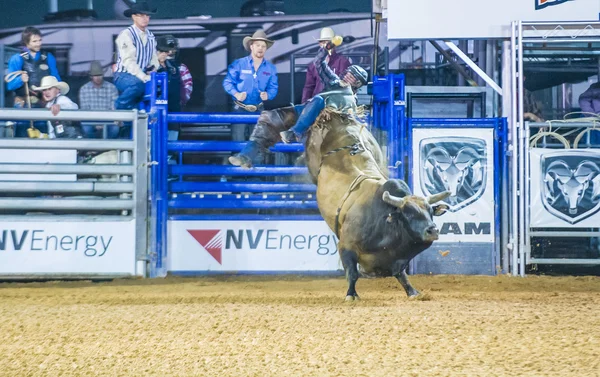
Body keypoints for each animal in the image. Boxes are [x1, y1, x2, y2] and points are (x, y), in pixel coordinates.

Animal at [308, 109, 448, 300]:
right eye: (408, 213)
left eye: (431, 212)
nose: (432, 230)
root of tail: (338, 119)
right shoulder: (346, 246)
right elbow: (353, 273)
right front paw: (351, 295)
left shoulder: (396, 261)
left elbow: (402, 275)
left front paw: (412, 292)